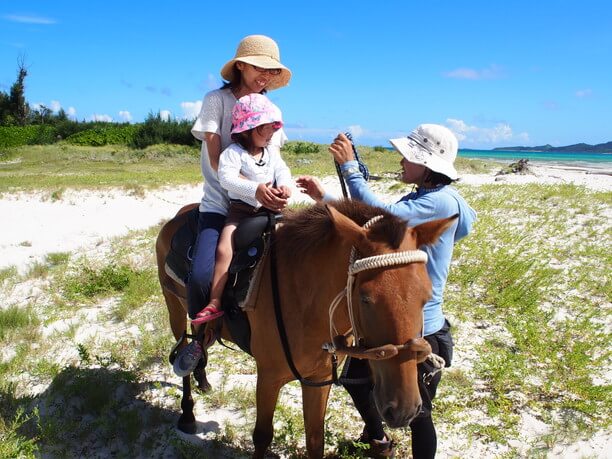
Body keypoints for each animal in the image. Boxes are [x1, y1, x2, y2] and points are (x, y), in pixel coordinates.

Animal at [155, 201, 456, 459]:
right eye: (365, 298)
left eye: (427, 296)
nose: (404, 409)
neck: (304, 298)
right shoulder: (268, 377)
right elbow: (262, 435)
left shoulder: (318, 380)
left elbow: (315, 440)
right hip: (174, 307)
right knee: (183, 349)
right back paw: (187, 413)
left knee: (200, 339)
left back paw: (203, 379)